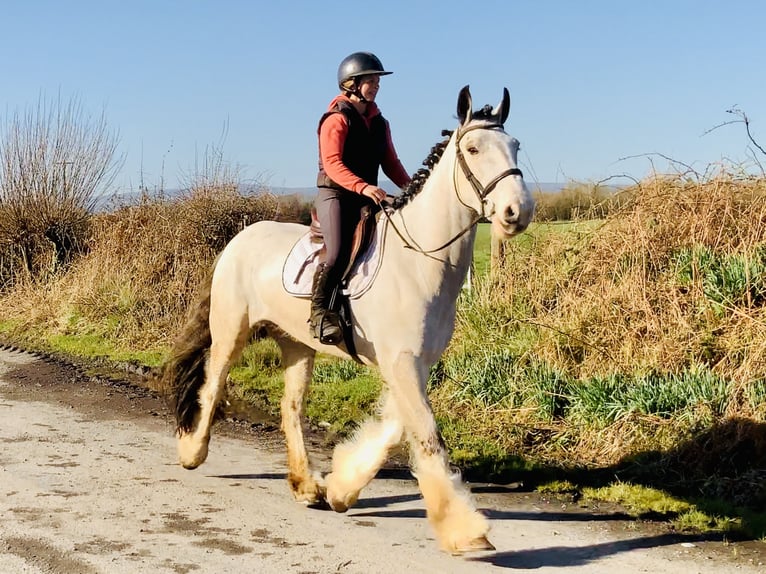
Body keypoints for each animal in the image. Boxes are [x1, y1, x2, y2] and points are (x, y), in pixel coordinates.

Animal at [162, 85, 535, 554]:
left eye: (516, 145)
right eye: (472, 148)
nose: (517, 211)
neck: (420, 262)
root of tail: (238, 239)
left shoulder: (413, 363)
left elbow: (396, 427)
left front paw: (341, 488)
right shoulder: (401, 362)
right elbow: (427, 435)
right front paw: (465, 530)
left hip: (297, 344)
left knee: (290, 407)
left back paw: (306, 486)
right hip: (232, 331)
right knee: (212, 384)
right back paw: (192, 453)